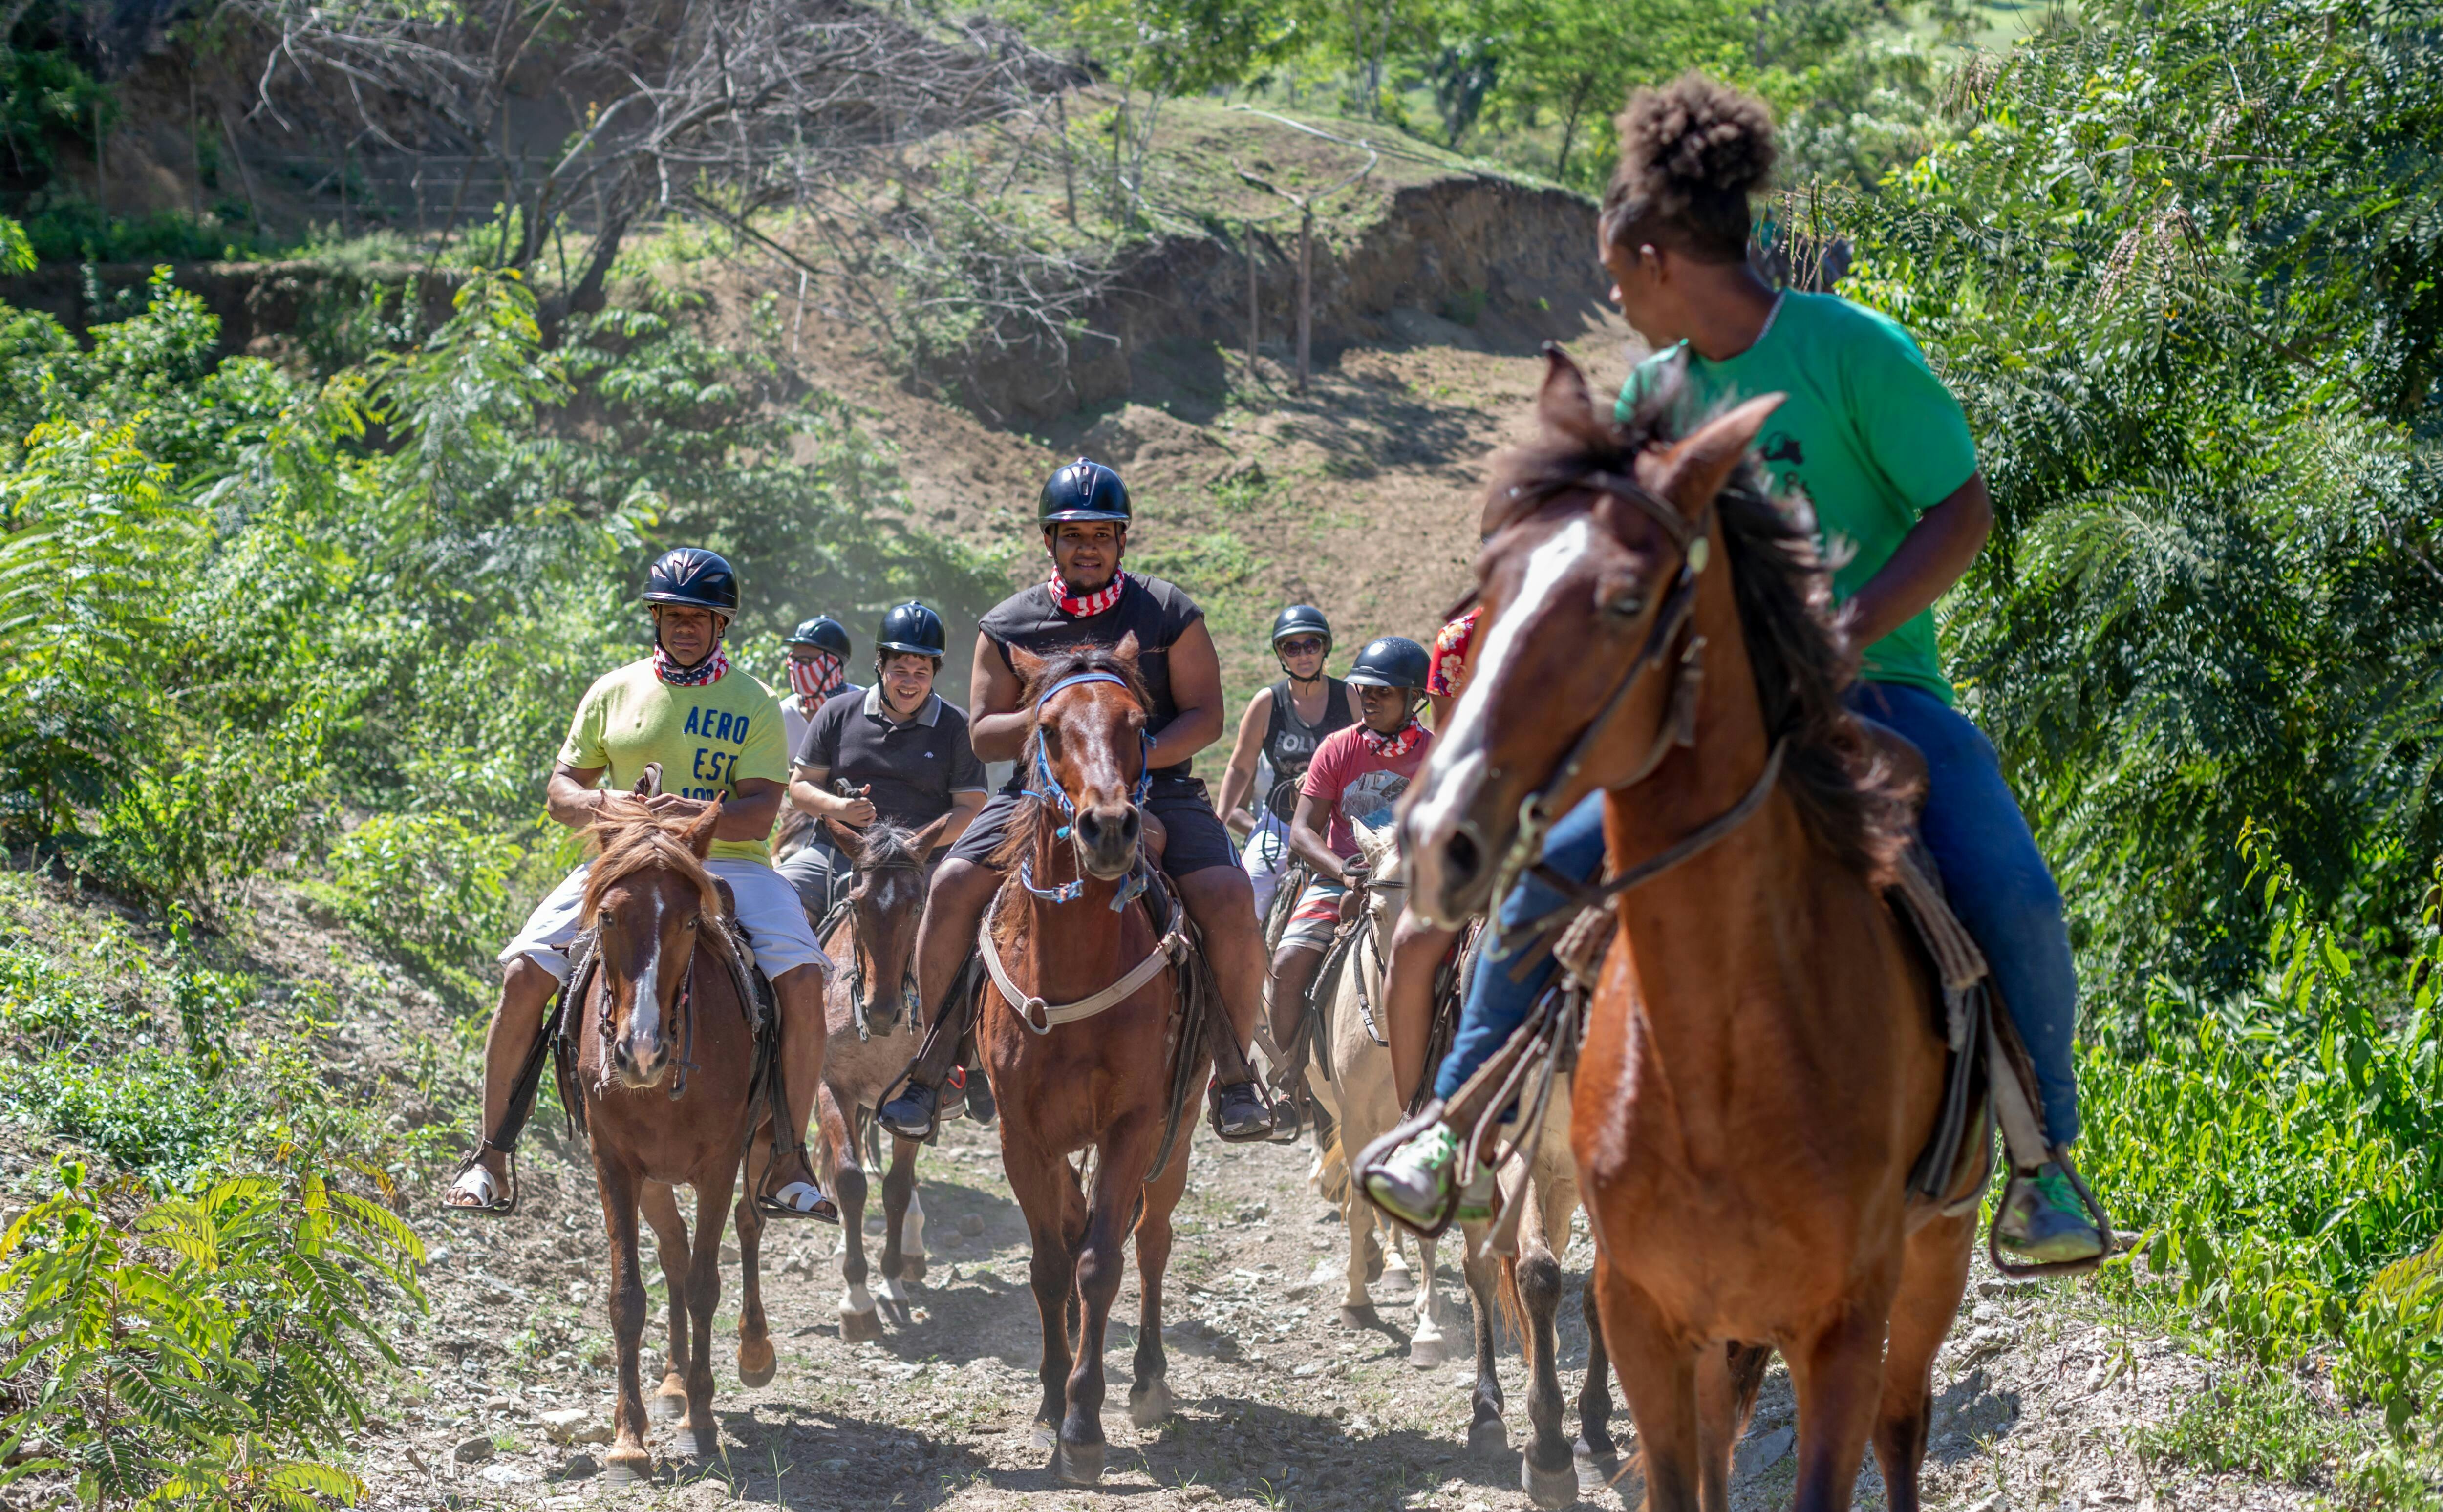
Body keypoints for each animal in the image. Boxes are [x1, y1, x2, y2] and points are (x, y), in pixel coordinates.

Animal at [572, 787, 782, 1485]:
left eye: (691, 922)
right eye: (609, 916)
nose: (639, 1053)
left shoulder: (719, 1161)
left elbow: (702, 1284)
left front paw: (701, 1422)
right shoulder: (613, 1163)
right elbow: (628, 1296)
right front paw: (628, 1439)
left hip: (760, 1144)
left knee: (746, 1223)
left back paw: (750, 1351)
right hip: (654, 1177)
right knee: (673, 1247)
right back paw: (671, 1382)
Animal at [806, 816, 948, 1339]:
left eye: (917, 905)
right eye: (857, 903)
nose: (881, 1011)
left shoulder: (912, 1099)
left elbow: (896, 1188)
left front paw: (890, 1282)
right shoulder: (832, 1088)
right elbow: (850, 1180)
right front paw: (857, 1298)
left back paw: (910, 1250)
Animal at [982, 640, 1212, 1495]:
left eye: (1139, 724)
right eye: (1048, 728)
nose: (1109, 827)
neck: (1072, 965)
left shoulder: (1132, 1126)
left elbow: (1101, 1262)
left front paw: (1084, 1423)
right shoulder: (1023, 1136)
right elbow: (1051, 1264)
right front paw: (1052, 1400)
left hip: (1177, 1134)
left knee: (1152, 1239)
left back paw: (1145, 1378)